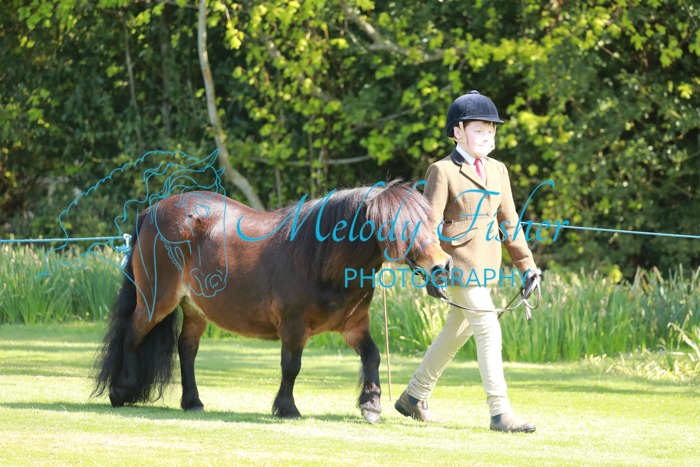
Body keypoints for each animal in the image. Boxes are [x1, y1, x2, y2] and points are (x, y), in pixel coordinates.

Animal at [93, 180, 452, 423]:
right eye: (400, 226)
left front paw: (371, 405)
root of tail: (152, 211)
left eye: (429, 221)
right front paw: (286, 407)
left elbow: (372, 356)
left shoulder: (354, 326)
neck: (319, 260)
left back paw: (192, 401)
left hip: (194, 309)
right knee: (132, 335)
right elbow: (291, 366)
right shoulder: (293, 328)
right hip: (156, 301)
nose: (442, 266)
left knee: (187, 349)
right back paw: (121, 390)